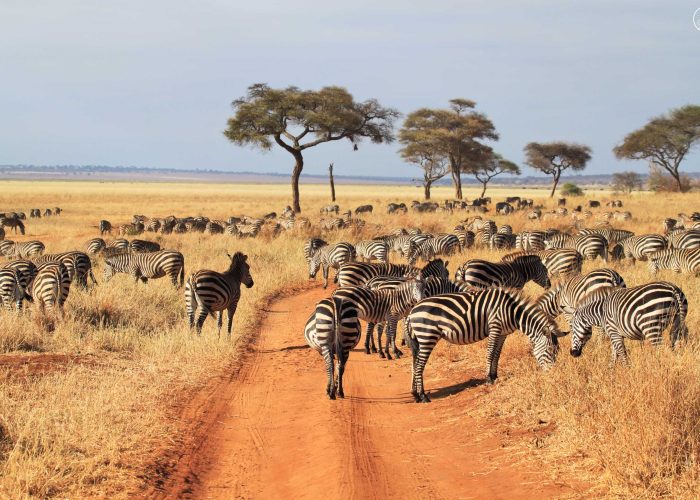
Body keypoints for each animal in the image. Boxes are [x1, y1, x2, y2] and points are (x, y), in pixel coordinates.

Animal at [406, 289, 563, 402]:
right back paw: (423, 396)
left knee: (414, 364)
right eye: (550, 350)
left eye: (557, 351)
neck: (513, 311)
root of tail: (412, 311)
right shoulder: (495, 327)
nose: (552, 375)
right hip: (427, 336)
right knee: (419, 366)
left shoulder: (503, 333)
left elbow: (497, 355)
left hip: (419, 340)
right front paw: (488, 378)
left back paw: (415, 394)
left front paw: (494, 376)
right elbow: (490, 353)